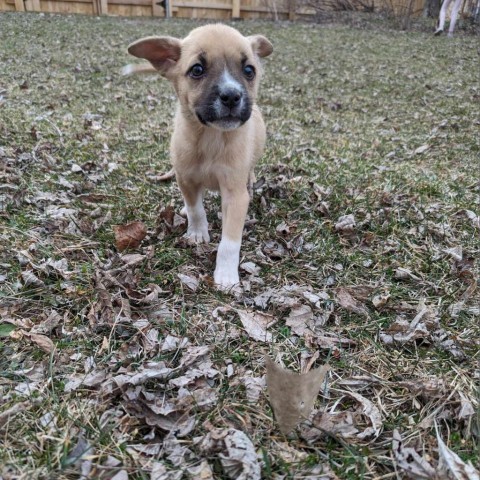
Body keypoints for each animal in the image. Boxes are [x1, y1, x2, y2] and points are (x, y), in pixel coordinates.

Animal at [124, 24, 274, 288]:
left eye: (249, 70)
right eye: (197, 70)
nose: (232, 96)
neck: (210, 138)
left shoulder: (235, 194)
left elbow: (230, 242)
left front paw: (226, 275)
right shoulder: (186, 178)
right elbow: (196, 208)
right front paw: (196, 232)